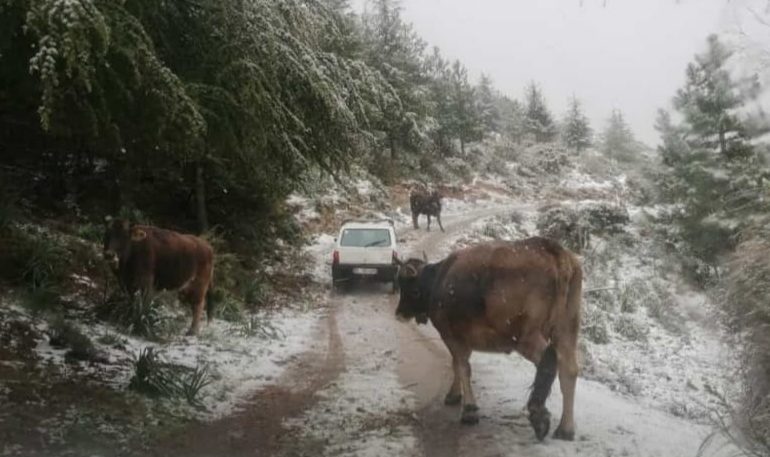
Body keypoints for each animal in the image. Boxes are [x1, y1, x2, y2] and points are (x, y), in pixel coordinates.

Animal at [392, 237, 580, 440]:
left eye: (411, 289)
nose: (399, 313)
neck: (439, 281)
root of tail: (552, 249)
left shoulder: (451, 335)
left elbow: (462, 367)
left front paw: (469, 410)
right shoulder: (462, 338)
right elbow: (456, 364)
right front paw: (454, 395)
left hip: (526, 336)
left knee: (549, 360)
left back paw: (539, 416)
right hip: (567, 329)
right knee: (568, 369)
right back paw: (565, 428)